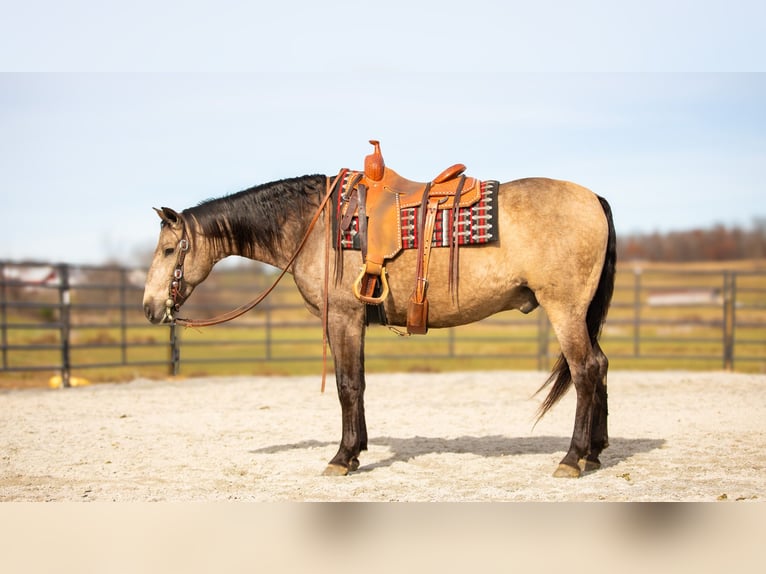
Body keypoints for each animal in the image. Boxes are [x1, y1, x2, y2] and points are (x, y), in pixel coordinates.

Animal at [142, 142, 616, 480]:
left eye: (168, 250)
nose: (149, 307)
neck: (314, 225)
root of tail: (594, 197)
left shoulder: (344, 318)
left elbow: (347, 386)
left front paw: (341, 457)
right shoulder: (355, 322)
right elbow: (360, 384)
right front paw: (356, 452)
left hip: (565, 310)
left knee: (585, 370)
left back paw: (572, 458)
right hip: (581, 314)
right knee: (601, 365)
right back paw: (594, 454)